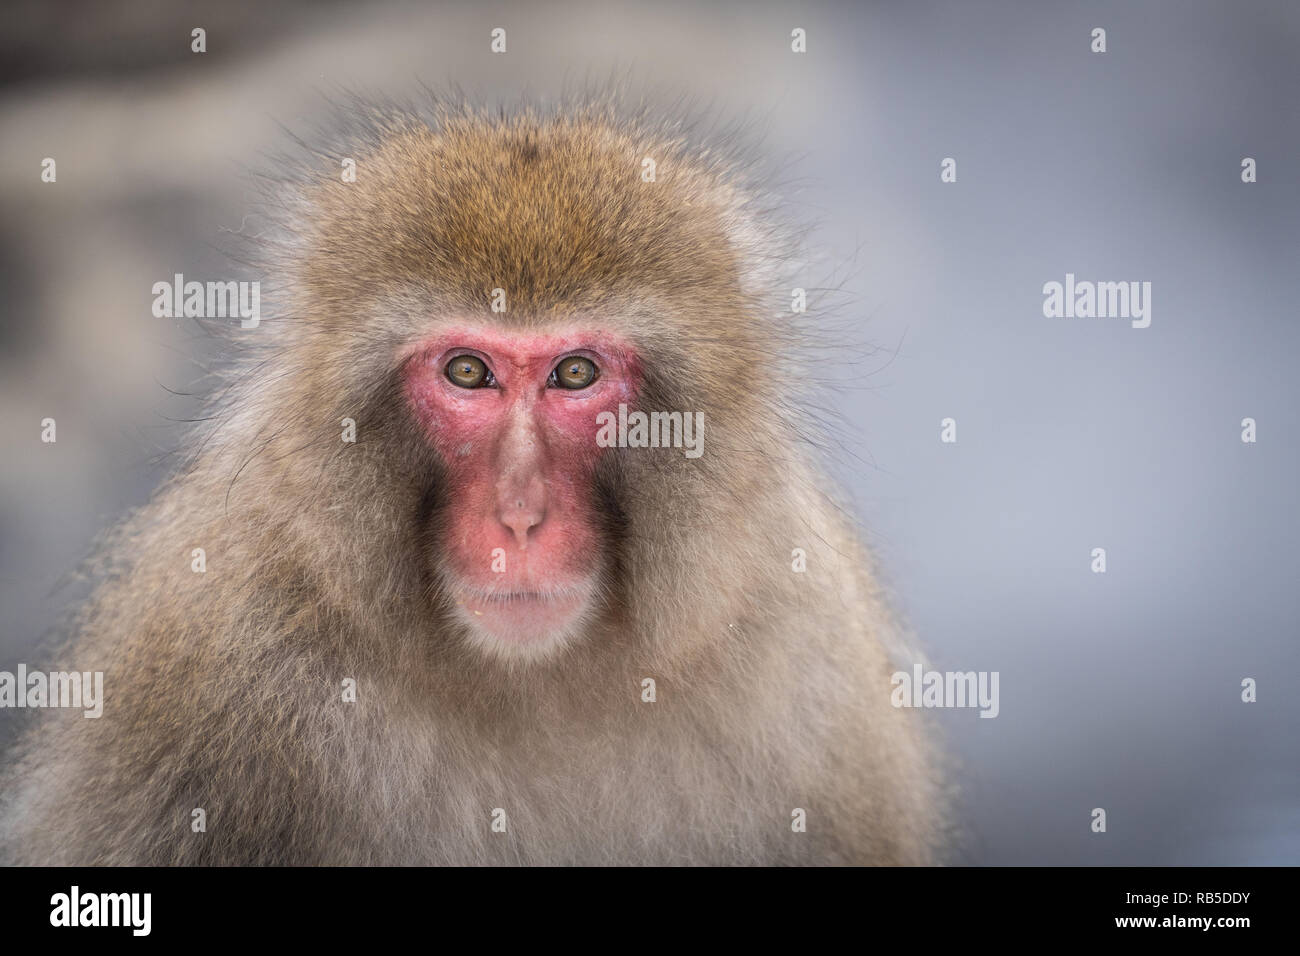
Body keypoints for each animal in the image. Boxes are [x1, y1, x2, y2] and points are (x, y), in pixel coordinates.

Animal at [0, 98, 945, 866]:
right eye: (467, 372)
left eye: (573, 374)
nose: (519, 516)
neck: (533, 685)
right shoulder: (205, 669)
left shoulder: (814, 668)